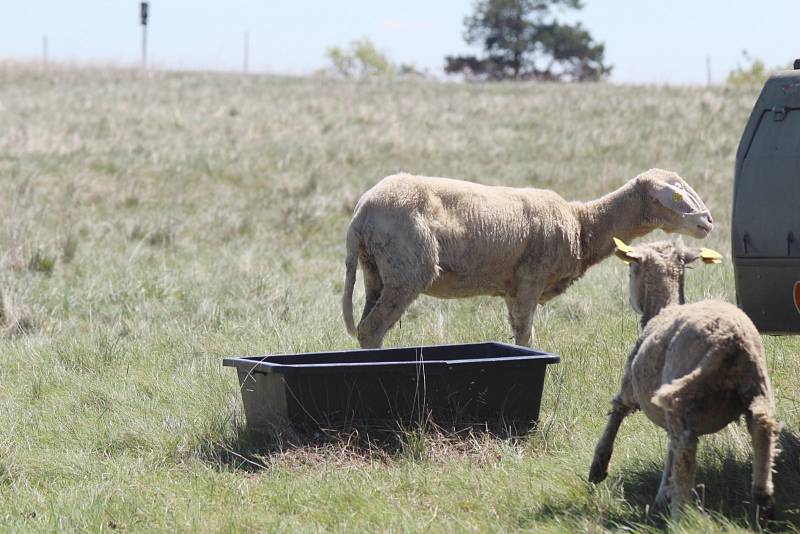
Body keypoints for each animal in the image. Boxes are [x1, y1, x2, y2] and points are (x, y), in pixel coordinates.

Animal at [342, 170, 712, 350]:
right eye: (674, 196)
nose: (707, 222)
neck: (582, 224)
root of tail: (361, 214)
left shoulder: (512, 287)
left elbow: (520, 330)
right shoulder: (531, 278)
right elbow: (525, 335)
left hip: (376, 271)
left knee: (365, 326)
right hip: (407, 270)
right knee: (372, 329)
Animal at [588, 241, 780, 524]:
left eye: (631, 269)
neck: (662, 308)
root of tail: (728, 340)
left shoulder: (630, 387)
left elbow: (617, 414)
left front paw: (598, 468)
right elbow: (669, 449)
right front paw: (662, 492)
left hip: (683, 397)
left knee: (686, 445)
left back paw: (680, 513)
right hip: (756, 384)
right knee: (762, 427)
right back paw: (763, 502)